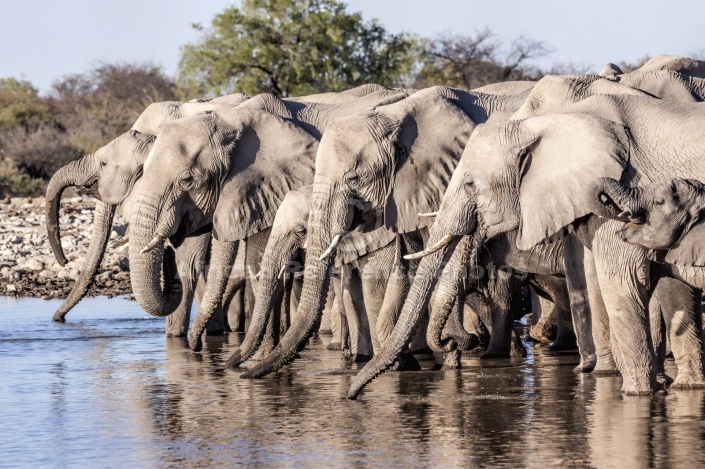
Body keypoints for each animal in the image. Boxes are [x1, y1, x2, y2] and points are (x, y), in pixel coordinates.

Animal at [124, 88, 410, 352]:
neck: (230, 118)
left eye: (186, 180)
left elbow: (260, 264)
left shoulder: (274, 186)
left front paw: (260, 354)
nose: (195, 348)